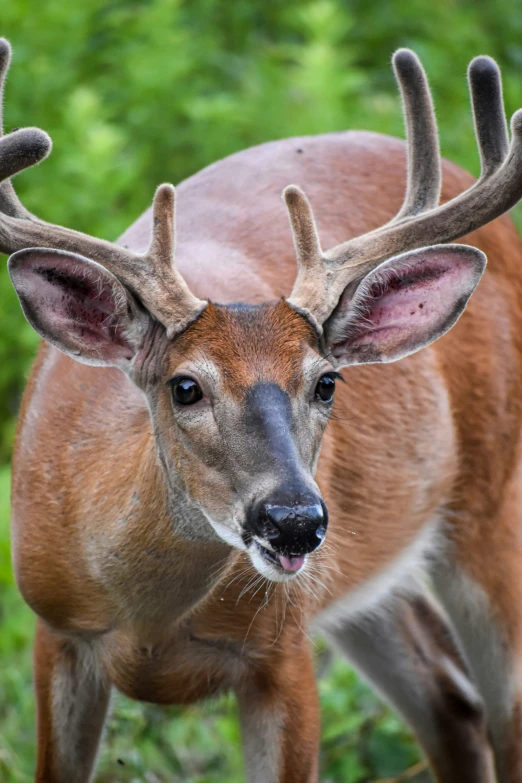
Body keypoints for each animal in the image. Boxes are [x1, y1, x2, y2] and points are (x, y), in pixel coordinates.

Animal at [3, 29, 520, 776]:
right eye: (185, 385)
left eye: (327, 381)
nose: (294, 520)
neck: (150, 623)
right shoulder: (56, 631)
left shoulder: (285, 650)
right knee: (451, 702)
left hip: (492, 499)